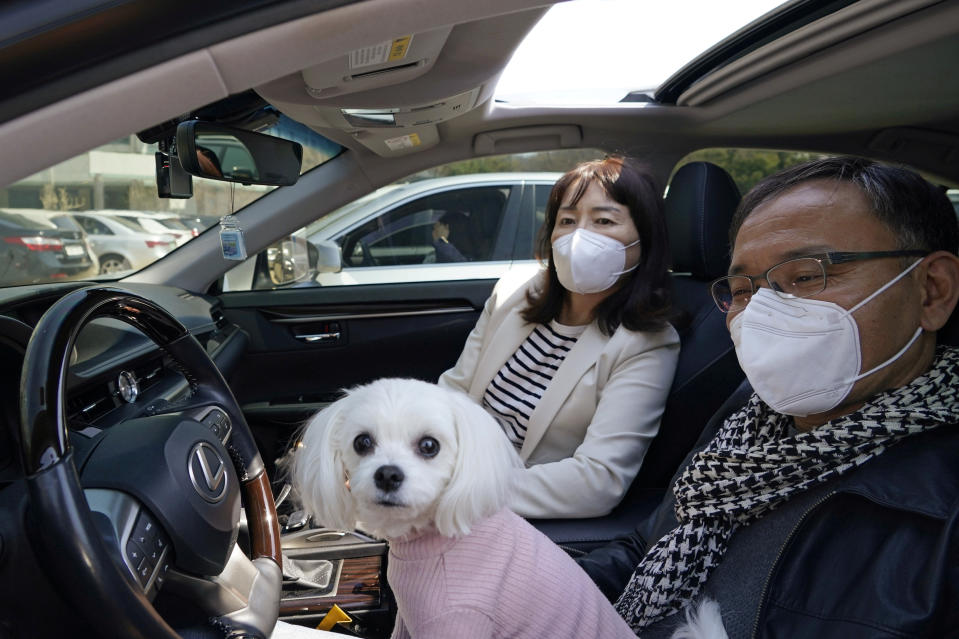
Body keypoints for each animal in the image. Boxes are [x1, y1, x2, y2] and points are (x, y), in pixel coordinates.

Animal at [292, 380, 636, 639]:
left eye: (429, 445)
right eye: (362, 442)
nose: (388, 474)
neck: (434, 536)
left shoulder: (458, 620)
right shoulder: (408, 617)